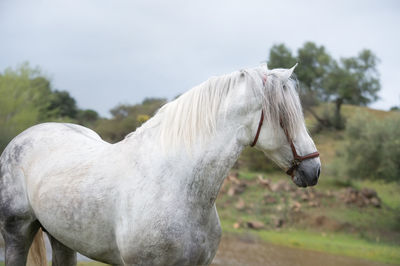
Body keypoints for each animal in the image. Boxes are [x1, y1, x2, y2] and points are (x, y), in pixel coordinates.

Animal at [0, 64, 318, 264]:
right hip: (17, 233)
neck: (175, 186)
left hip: (62, 239)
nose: (314, 170)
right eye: (283, 117)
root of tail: (22, 137)